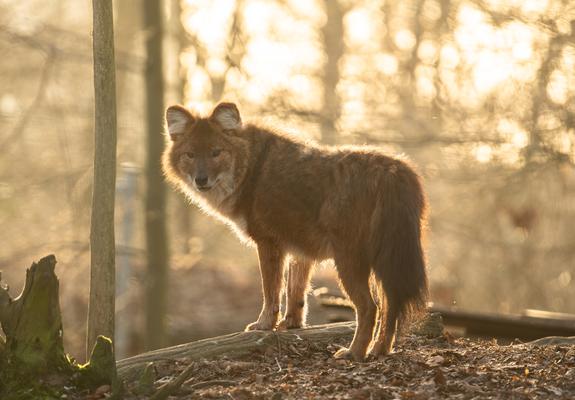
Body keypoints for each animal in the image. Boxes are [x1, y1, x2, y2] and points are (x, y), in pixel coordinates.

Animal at [162, 101, 428, 360]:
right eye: (190, 154)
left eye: (216, 152)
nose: (201, 179)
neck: (251, 170)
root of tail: (394, 170)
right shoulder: (300, 249)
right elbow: (295, 291)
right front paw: (291, 324)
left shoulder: (268, 242)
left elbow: (271, 291)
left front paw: (264, 325)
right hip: (387, 260)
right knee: (390, 305)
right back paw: (380, 350)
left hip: (350, 260)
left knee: (369, 307)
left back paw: (354, 352)